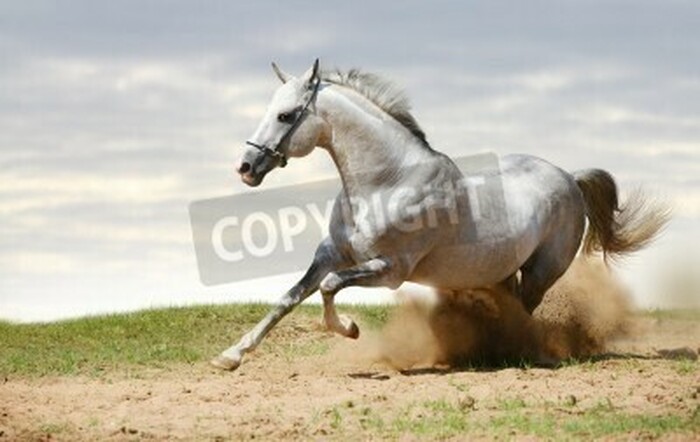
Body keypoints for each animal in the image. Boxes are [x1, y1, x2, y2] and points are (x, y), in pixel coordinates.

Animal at [211, 59, 667, 371]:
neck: (387, 182)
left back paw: (516, 353)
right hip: (502, 271)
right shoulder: (331, 253)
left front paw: (351, 329)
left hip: (542, 271)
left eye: (286, 115)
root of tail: (570, 178)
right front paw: (231, 355)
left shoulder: (390, 270)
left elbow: (328, 287)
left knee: (525, 311)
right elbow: (289, 298)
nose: (246, 167)